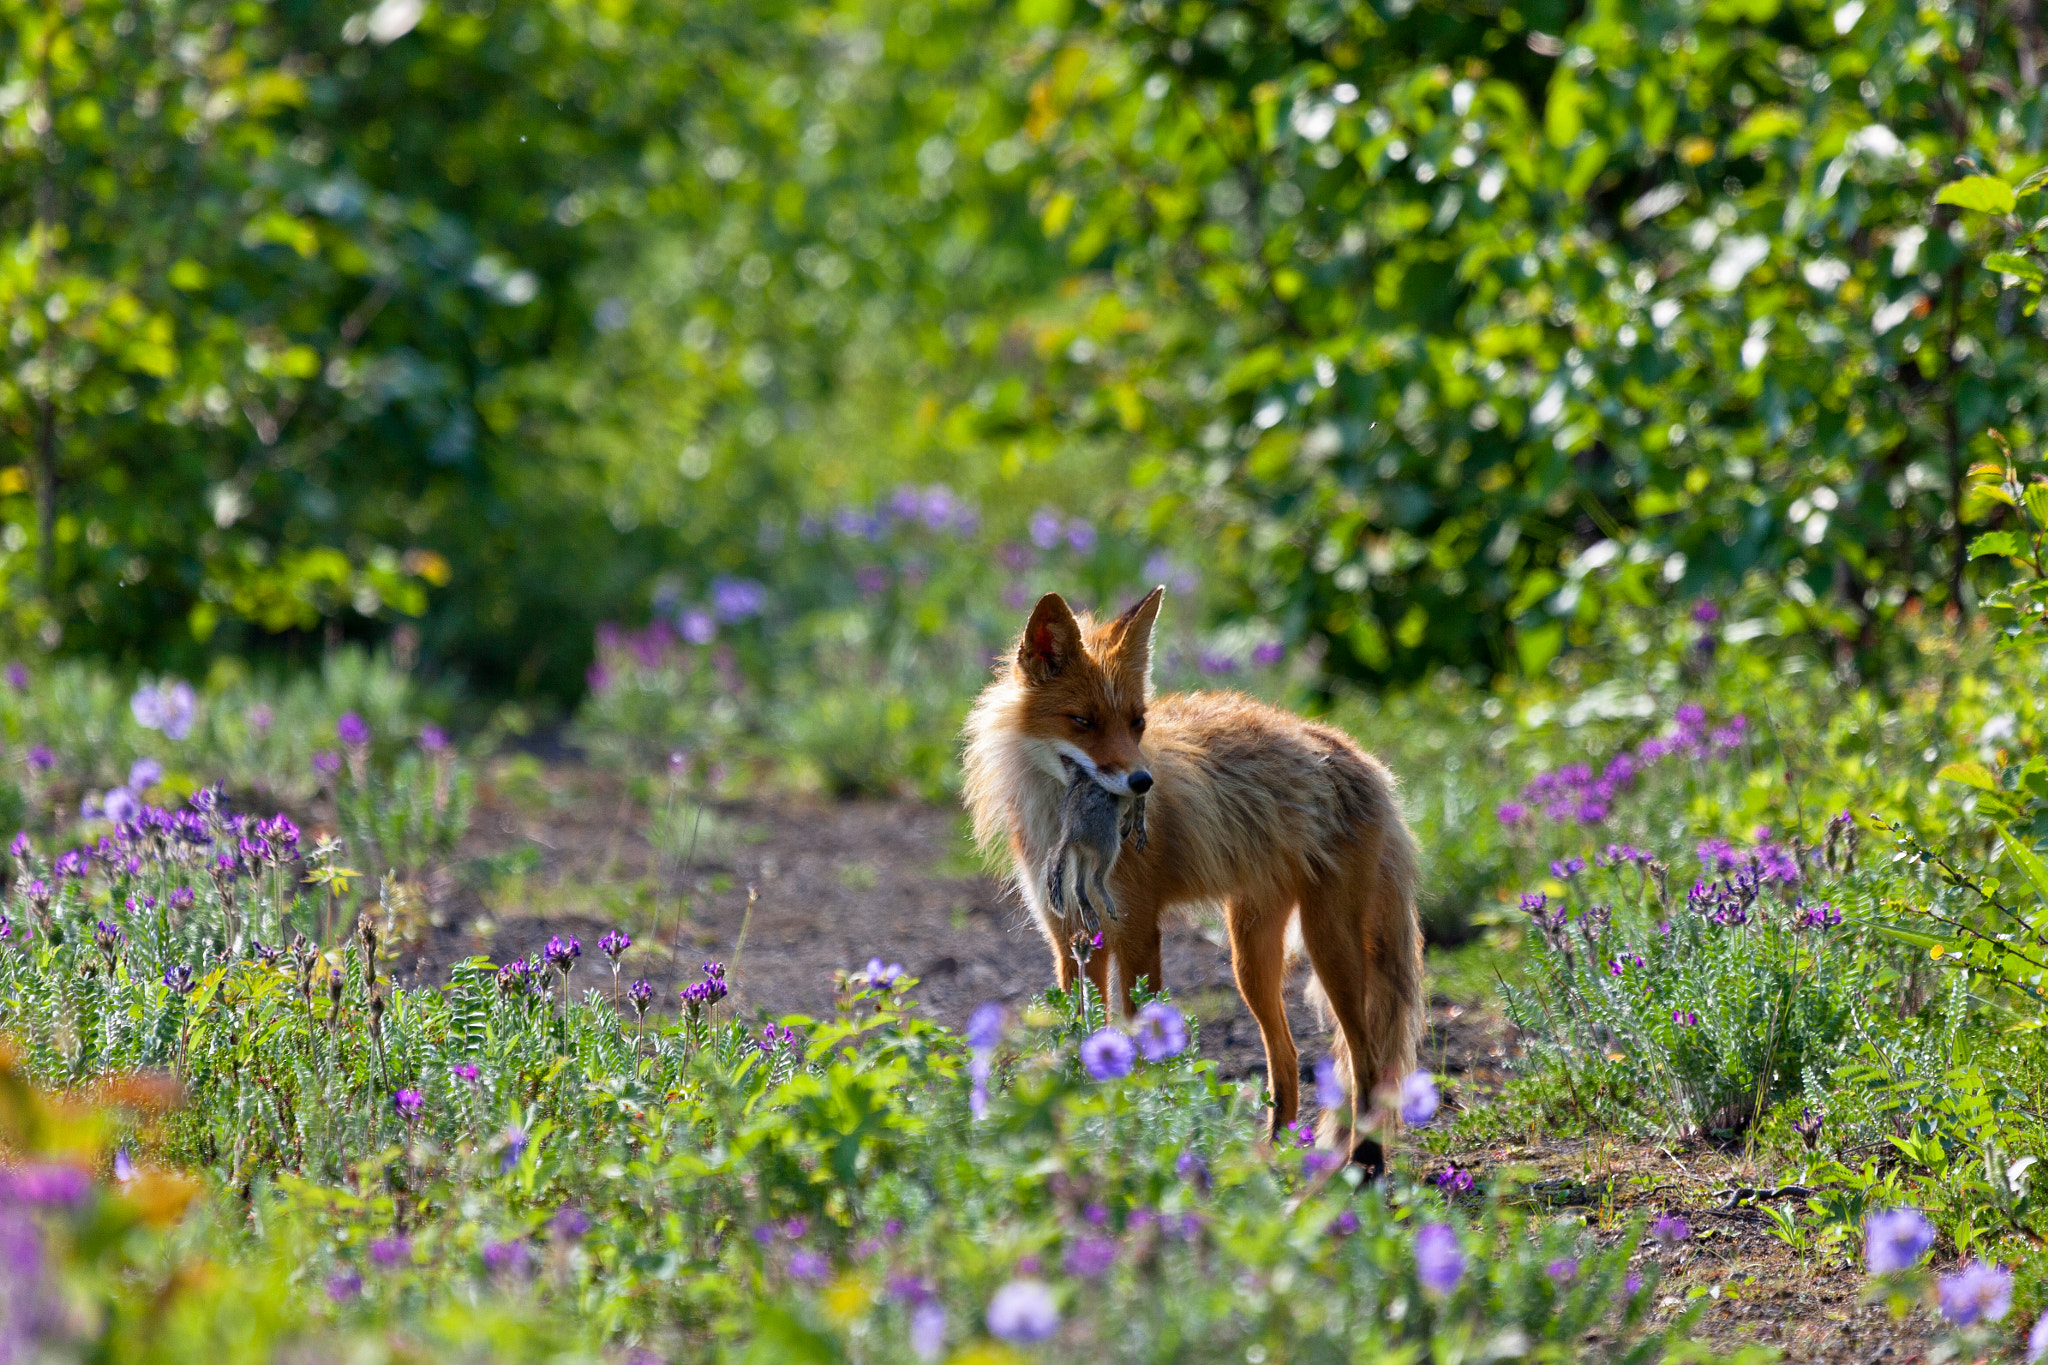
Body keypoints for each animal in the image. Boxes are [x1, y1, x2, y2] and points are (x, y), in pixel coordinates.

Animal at [962, 589, 1425, 1162]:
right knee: (1288, 1054)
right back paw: (1275, 1155)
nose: (1142, 782)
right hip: (1250, 957)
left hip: (1330, 945)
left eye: (1137, 722)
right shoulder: (1069, 935)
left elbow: (1138, 1045)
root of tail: (1361, 756)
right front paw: (1082, 1126)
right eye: (1083, 721)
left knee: (1366, 1060)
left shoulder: (1137, 930)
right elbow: (1079, 1035)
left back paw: (1364, 1164)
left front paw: (1138, 1129)